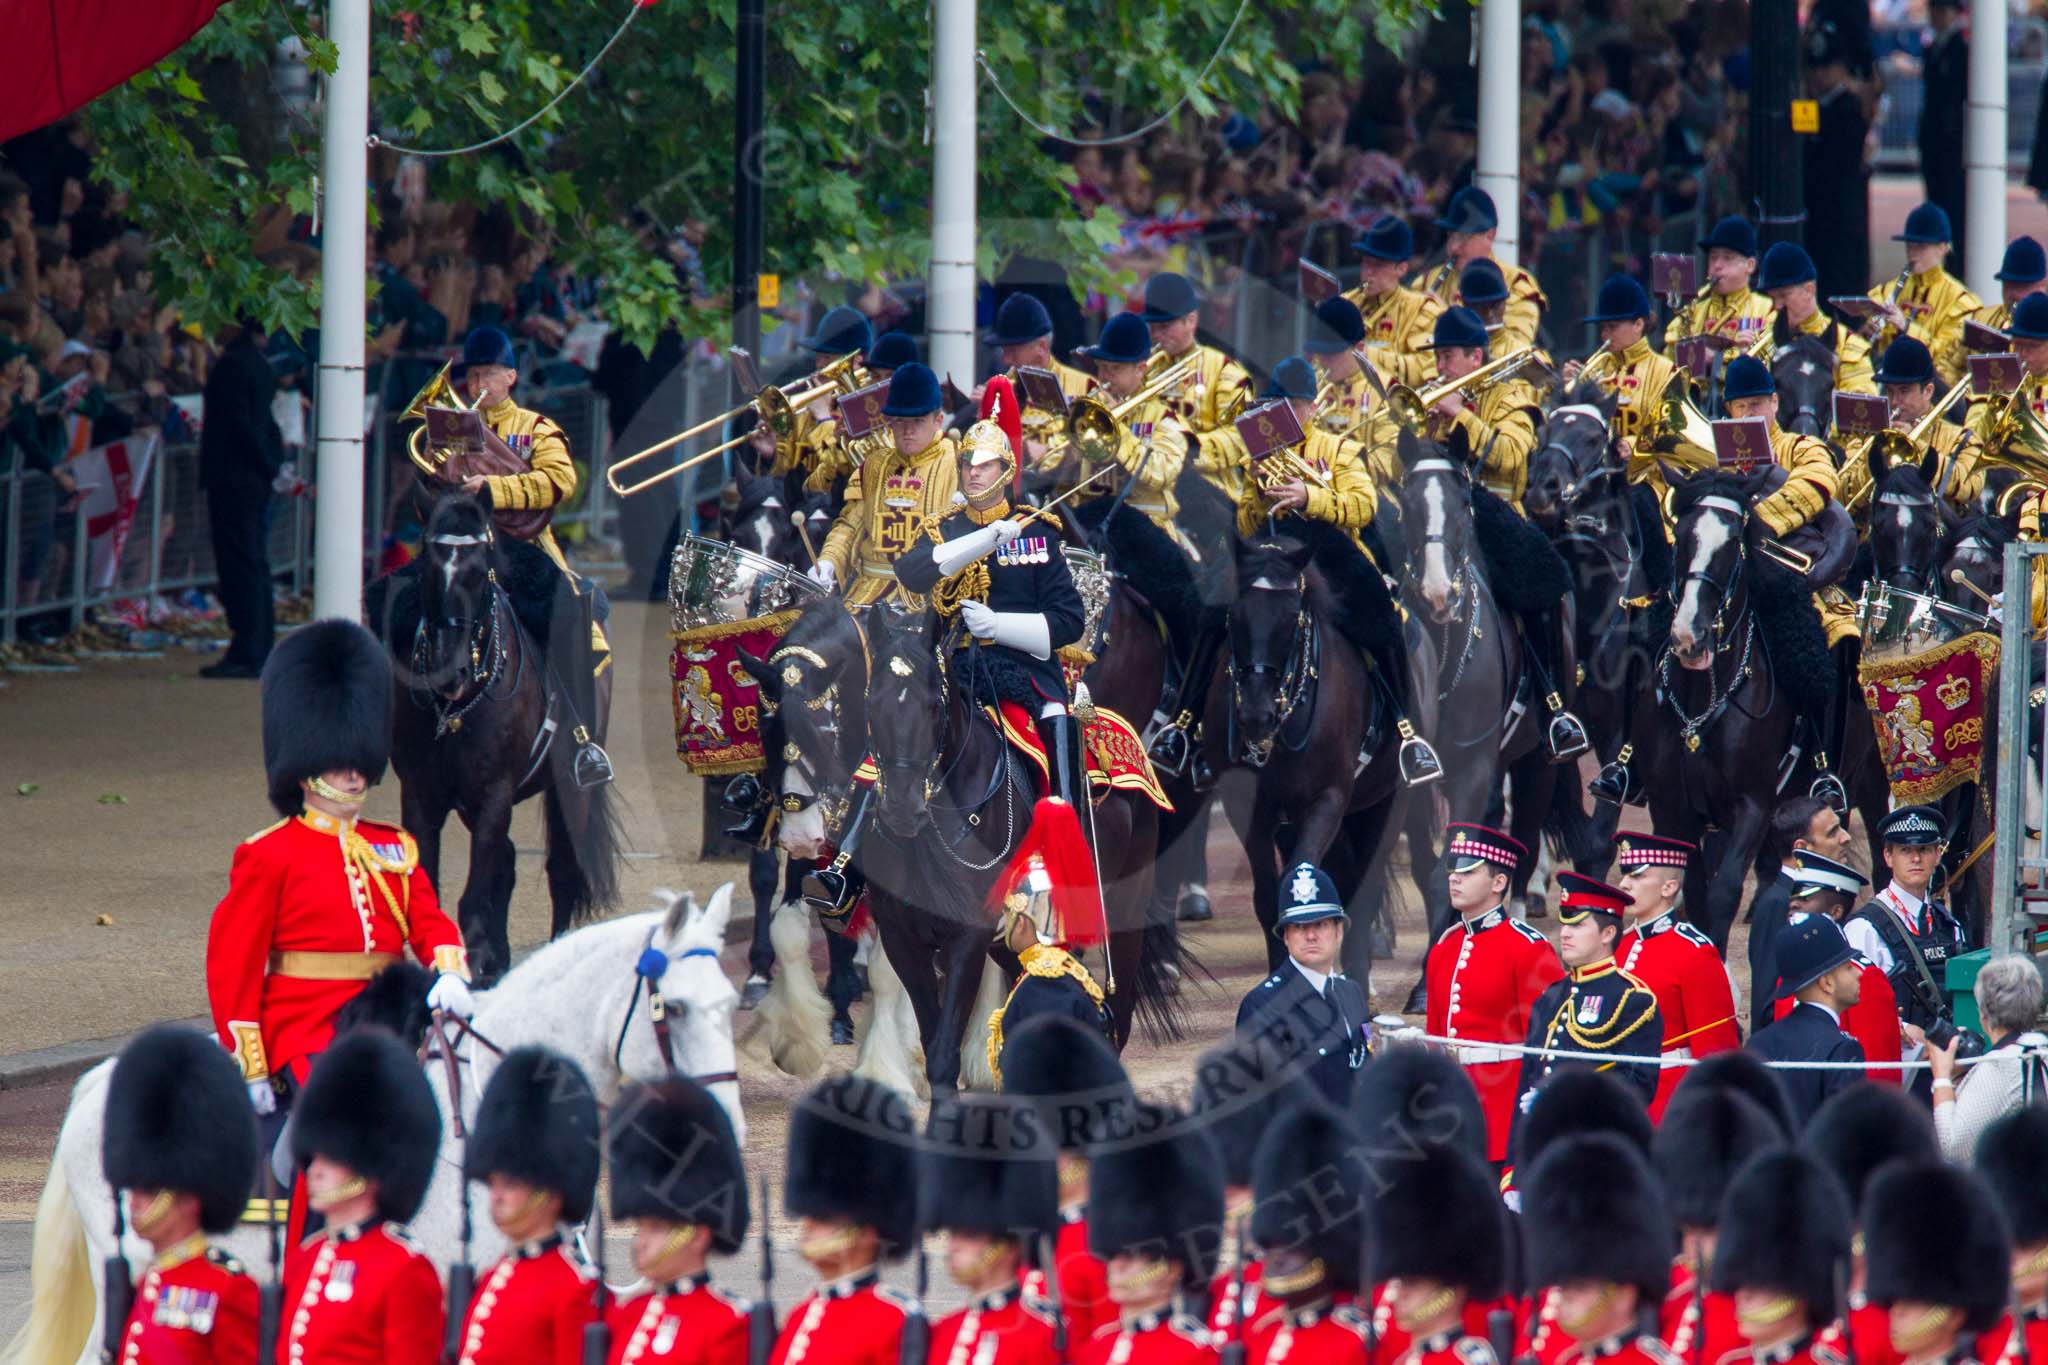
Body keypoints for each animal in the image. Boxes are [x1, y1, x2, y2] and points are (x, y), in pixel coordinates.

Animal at [368, 491, 618, 982]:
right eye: (428, 565)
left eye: (478, 568)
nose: (449, 672)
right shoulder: (422, 795)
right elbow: (435, 890)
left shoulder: (494, 792)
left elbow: (474, 896)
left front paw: (477, 961)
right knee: (507, 860)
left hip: (570, 788)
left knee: (562, 869)